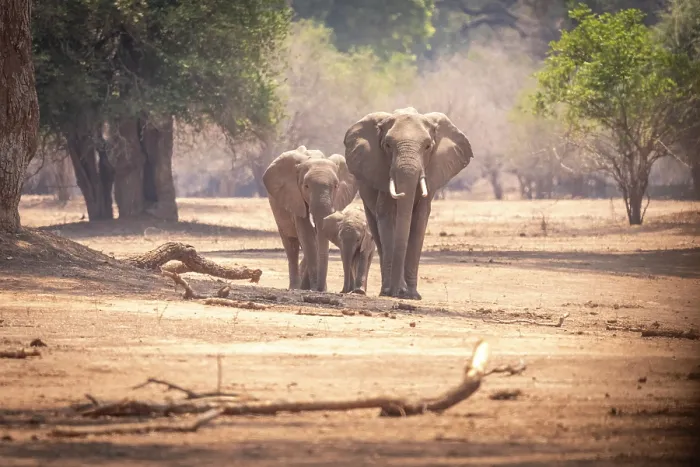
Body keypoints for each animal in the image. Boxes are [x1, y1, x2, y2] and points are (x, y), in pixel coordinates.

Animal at [263, 146, 358, 292]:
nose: (320, 289)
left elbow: (316, 237)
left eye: (336, 186)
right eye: (306, 186)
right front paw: (314, 287)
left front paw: (317, 287)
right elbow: (307, 234)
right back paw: (295, 287)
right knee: (291, 246)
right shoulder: (295, 197)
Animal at [344, 107, 474, 300]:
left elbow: (420, 218)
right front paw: (393, 292)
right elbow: (387, 215)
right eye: (387, 145)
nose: (399, 291)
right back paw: (384, 289)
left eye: (428, 146)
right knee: (376, 230)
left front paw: (412, 295)